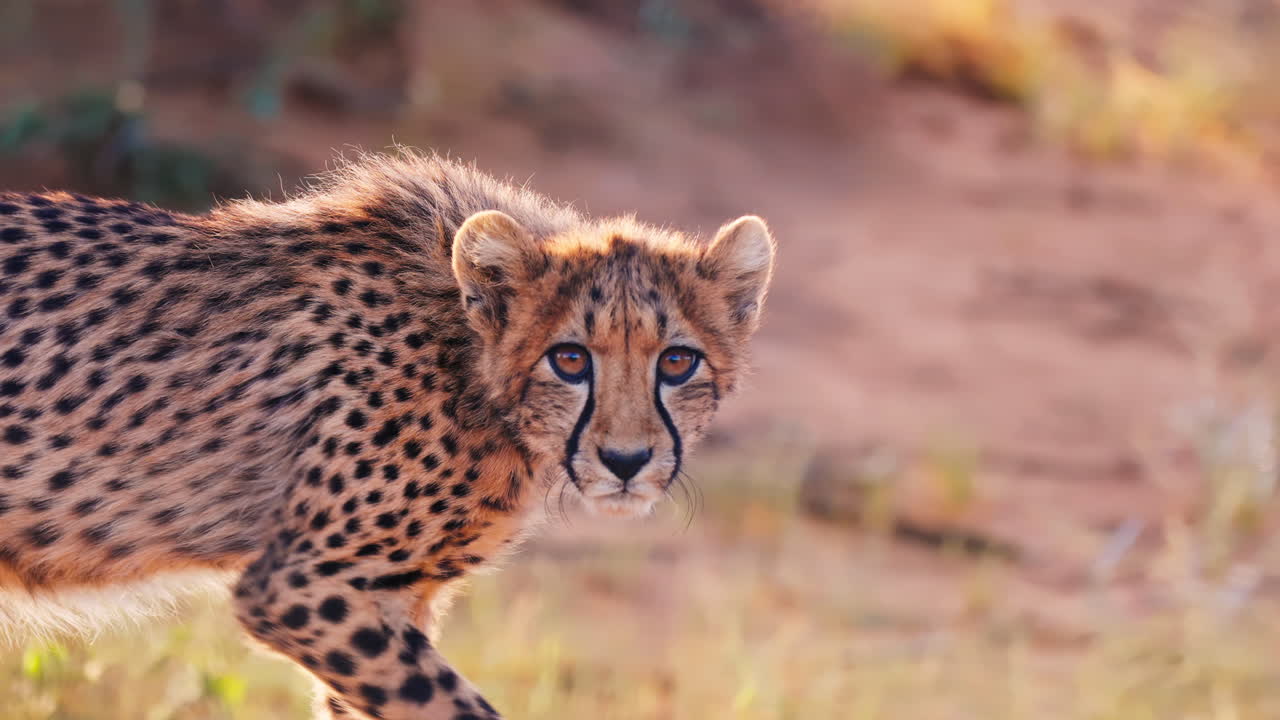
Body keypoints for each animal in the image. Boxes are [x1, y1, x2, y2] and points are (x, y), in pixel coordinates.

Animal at [0, 152, 776, 719]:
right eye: (570, 359)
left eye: (676, 362)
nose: (625, 460)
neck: (467, 357)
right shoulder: (300, 586)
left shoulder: (385, 602)